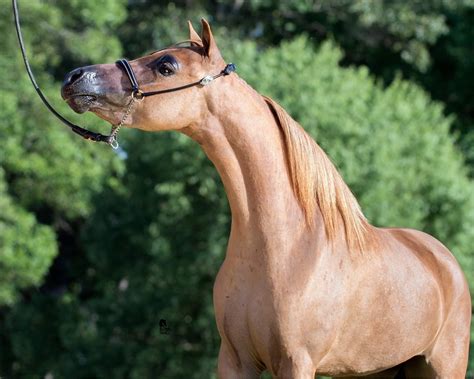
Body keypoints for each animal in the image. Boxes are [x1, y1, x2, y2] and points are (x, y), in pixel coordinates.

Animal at [60, 18, 470, 379]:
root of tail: (443, 260)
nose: (74, 77)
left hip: (443, 366)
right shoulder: (234, 360)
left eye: (166, 65)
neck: (285, 248)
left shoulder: (297, 363)